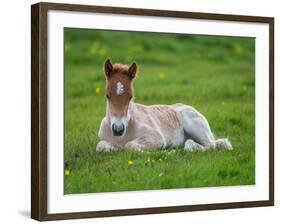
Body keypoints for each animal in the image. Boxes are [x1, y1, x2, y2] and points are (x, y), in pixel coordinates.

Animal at [95, 58, 231, 152]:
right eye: (107, 96)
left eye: (130, 97)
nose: (118, 129)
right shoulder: (103, 140)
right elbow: (101, 146)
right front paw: (113, 148)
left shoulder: (156, 137)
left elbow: (130, 145)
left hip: (194, 125)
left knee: (210, 145)